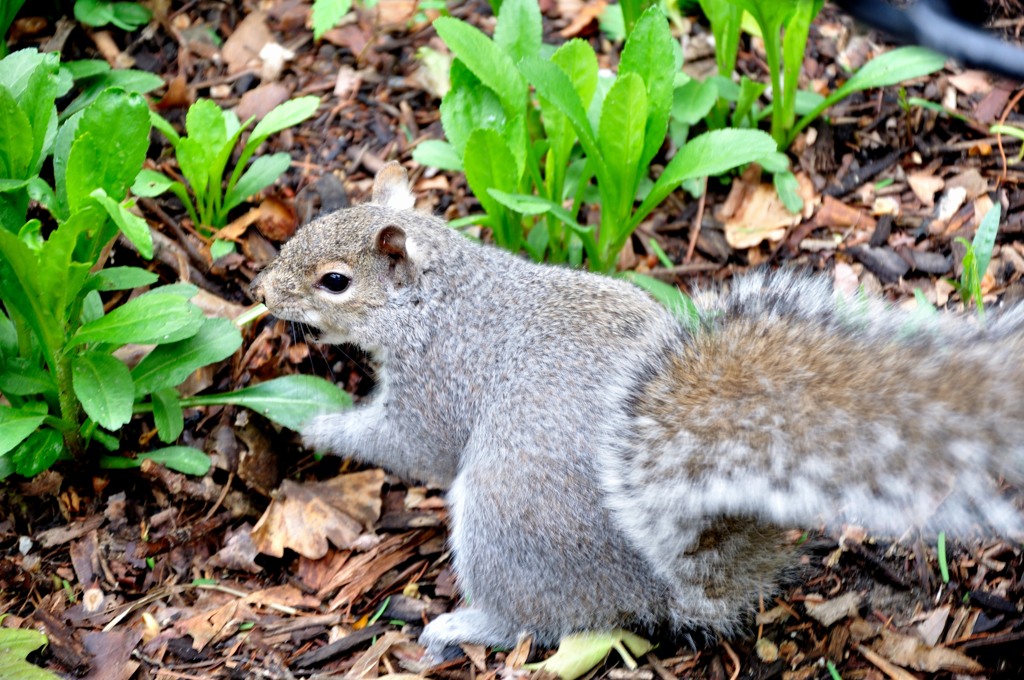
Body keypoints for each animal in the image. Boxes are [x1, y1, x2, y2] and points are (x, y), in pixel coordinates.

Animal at [247, 161, 1024, 659]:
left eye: (335, 281)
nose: (261, 290)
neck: (437, 299)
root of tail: (665, 587)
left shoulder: (439, 381)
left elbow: (410, 446)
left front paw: (313, 422)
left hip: (505, 517)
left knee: (537, 620)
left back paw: (463, 627)